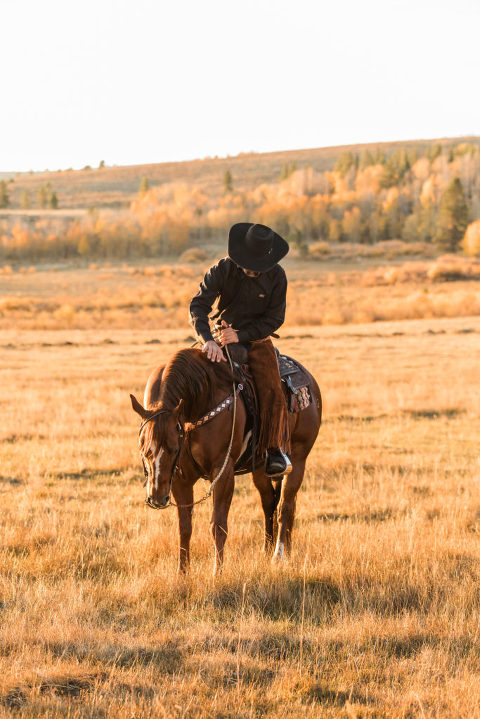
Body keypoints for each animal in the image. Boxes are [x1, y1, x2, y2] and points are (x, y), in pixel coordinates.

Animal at [130, 347, 322, 574]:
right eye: (144, 450)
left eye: (173, 448)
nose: (157, 498)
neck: (198, 401)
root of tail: (308, 379)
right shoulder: (179, 478)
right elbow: (184, 527)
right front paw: (182, 573)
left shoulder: (223, 472)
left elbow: (218, 525)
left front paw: (217, 572)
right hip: (259, 470)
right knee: (269, 503)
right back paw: (267, 550)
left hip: (299, 459)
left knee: (286, 506)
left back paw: (279, 555)